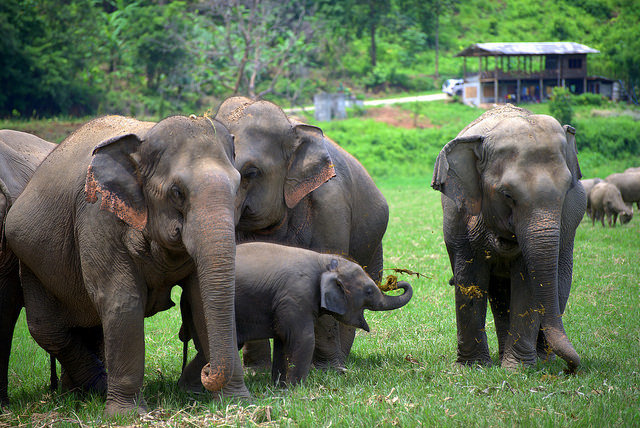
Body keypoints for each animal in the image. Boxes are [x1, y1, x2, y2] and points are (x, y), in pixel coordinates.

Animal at [4, 115, 248, 416]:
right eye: (177, 192)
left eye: (238, 187)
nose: (207, 371)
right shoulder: (97, 214)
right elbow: (122, 300)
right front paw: (128, 414)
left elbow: (201, 299)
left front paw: (237, 402)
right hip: (31, 260)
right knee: (48, 329)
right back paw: (94, 388)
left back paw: (80, 394)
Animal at [178, 242, 413, 389]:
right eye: (369, 291)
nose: (398, 281)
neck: (324, 260)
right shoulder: (295, 295)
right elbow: (303, 339)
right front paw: (295, 391)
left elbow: (284, 341)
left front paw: (280, 388)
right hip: (203, 303)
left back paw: (188, 391)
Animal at [199, 96, 389, 371]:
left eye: (251, 173)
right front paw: (256, 370)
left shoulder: (331, 205)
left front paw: (328, 370)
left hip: (374, 244)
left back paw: (340, 362)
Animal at [431, 104, 585, 372]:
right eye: (507, 195)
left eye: (567, 191)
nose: (571, 368)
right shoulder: (457, 213)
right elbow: (469, 276)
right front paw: (473, 367)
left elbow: (527, 282)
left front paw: (517, 370)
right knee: (501, 295)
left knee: (557, 286)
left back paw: (541, 358)